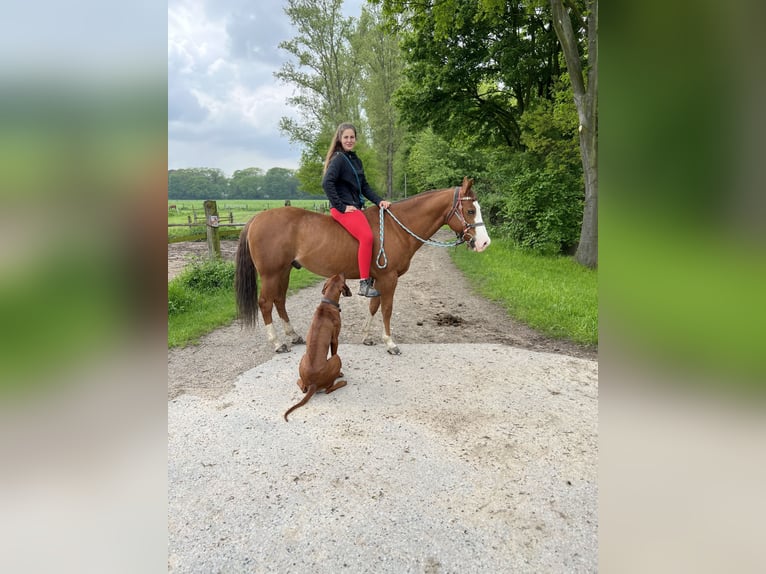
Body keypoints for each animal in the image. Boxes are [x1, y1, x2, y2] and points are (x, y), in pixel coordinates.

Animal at [234, 178, 492, 356]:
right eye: (470, 210)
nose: (484, 243)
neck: (396, 228)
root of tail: (256, 218)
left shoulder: (378, 279)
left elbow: (373, 306)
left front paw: (368, 337)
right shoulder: (389, 278)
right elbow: (386, 309)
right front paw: (390, 342)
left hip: (284, 271)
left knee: (279, 300)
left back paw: (293, 335)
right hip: (271, 273)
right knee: (265, 303)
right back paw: (278, 343)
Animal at [284, 274, 352, 424]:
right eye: (342, 277)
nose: (343, 272)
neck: (327, 304)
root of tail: (313, 384)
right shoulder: (335, 339)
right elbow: (334, 349)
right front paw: (340, 374)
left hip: (303, 358)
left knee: (303, 388)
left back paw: (300, 381)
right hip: (336, 360)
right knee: (328, 389)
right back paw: (342, 381)